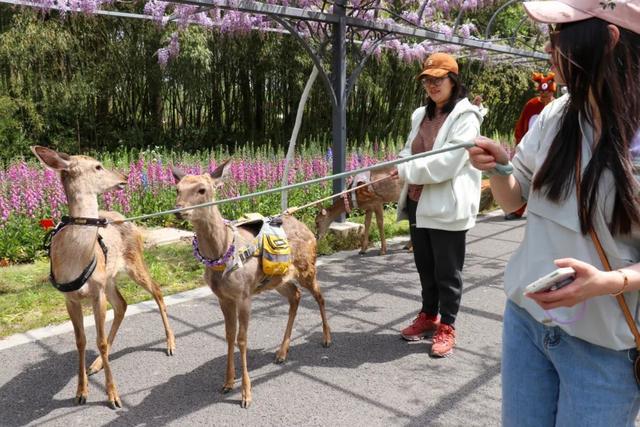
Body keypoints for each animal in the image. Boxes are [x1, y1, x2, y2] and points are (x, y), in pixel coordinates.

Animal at [30, 147, 175, 412]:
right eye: (97, 166)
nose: (124, 176)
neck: (74, 258)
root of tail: (123, 217)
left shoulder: (96, 293)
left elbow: (101, 342)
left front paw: (113, 396)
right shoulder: (70, 297)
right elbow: (80, 341)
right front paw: (81, 392)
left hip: (134, 262)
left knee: (157, 291)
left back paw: (170, 343)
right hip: (109, 279)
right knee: (123, 304)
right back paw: (96, 364)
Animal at [172, 162, 332, 410]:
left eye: (202, 190)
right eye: (177, 189)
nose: (178, 210)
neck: (222, 253)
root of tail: (309, 230)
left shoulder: (244, 294)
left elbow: (242, 338)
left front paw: (246, 395)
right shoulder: (223, 297)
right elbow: (229, 335)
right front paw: (228, 382)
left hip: (307, 266)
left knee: (320, 295)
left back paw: (326, 338)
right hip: (277, 279)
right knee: (295, 295)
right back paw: (281, 352)